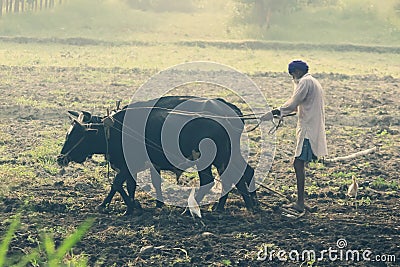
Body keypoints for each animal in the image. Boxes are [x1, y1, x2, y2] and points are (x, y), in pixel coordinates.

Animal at [57, 96, 256, 216]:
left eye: (74, 135)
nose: (60, 158)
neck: (114, 130)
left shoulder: (127, 166)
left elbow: (116, 184)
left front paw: (130, 206)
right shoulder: (133, 167)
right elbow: (129, 186)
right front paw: (128, 205)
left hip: (208, 160)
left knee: (211, 181)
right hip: (223, 158)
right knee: (237, 176)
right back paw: (231, 205)